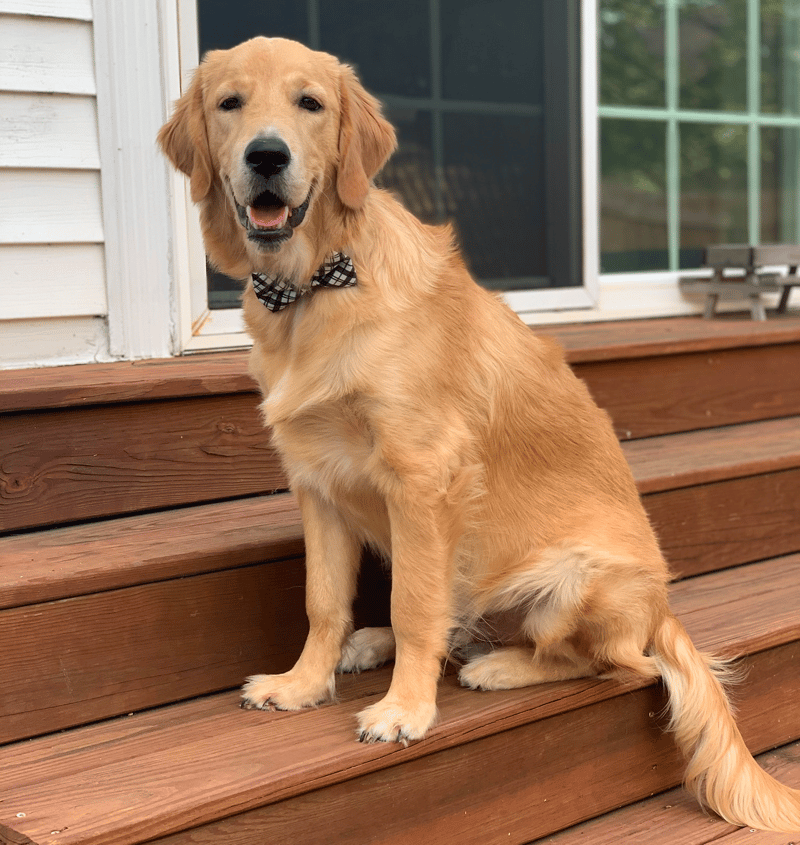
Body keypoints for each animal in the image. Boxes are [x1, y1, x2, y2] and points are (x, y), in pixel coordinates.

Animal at [161, 36, 800, 828]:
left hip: (580, 581)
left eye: (309, 103)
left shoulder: (423, 476)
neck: (312, 289)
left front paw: (405, 708)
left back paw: (497, 666)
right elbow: (324, 600)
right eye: (230, 104)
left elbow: (413, 604)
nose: (267, 156)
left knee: (610, 663)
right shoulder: (317, 482)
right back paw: (378, 645)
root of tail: (662, 610)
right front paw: (305, 682)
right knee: (460, 618)